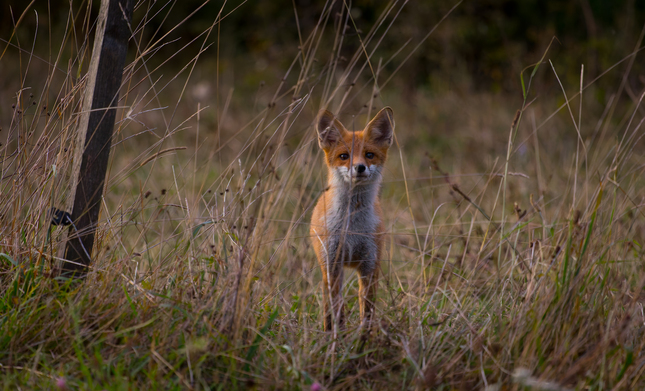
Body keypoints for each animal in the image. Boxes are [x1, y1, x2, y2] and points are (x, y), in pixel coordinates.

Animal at [308, 107, 392, 330]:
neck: (351, 227)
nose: (360, 167)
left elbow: (367, 315)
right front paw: (333, 337)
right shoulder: (332, 266)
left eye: (369, 155)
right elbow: (334, 314)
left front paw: (364, 338)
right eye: (344, 156)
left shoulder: (370, 266)